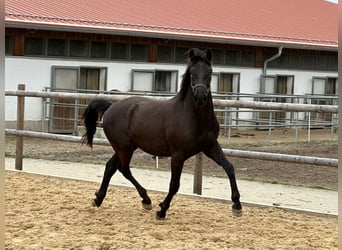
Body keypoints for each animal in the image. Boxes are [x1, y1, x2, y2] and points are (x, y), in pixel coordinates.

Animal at [82, 48, 242, 219]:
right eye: (192, 73)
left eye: (210, 73)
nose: (200, 97)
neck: (193, 117)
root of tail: (111, 106)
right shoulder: (178, 155)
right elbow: (174, 185)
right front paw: (162, 210)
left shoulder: (210, 147)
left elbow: (229, 168)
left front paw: (237, 205)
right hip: (124, 148)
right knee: (123, 169)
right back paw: (146, 200)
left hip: (126, 147)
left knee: (111, 167)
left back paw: (99, 198)